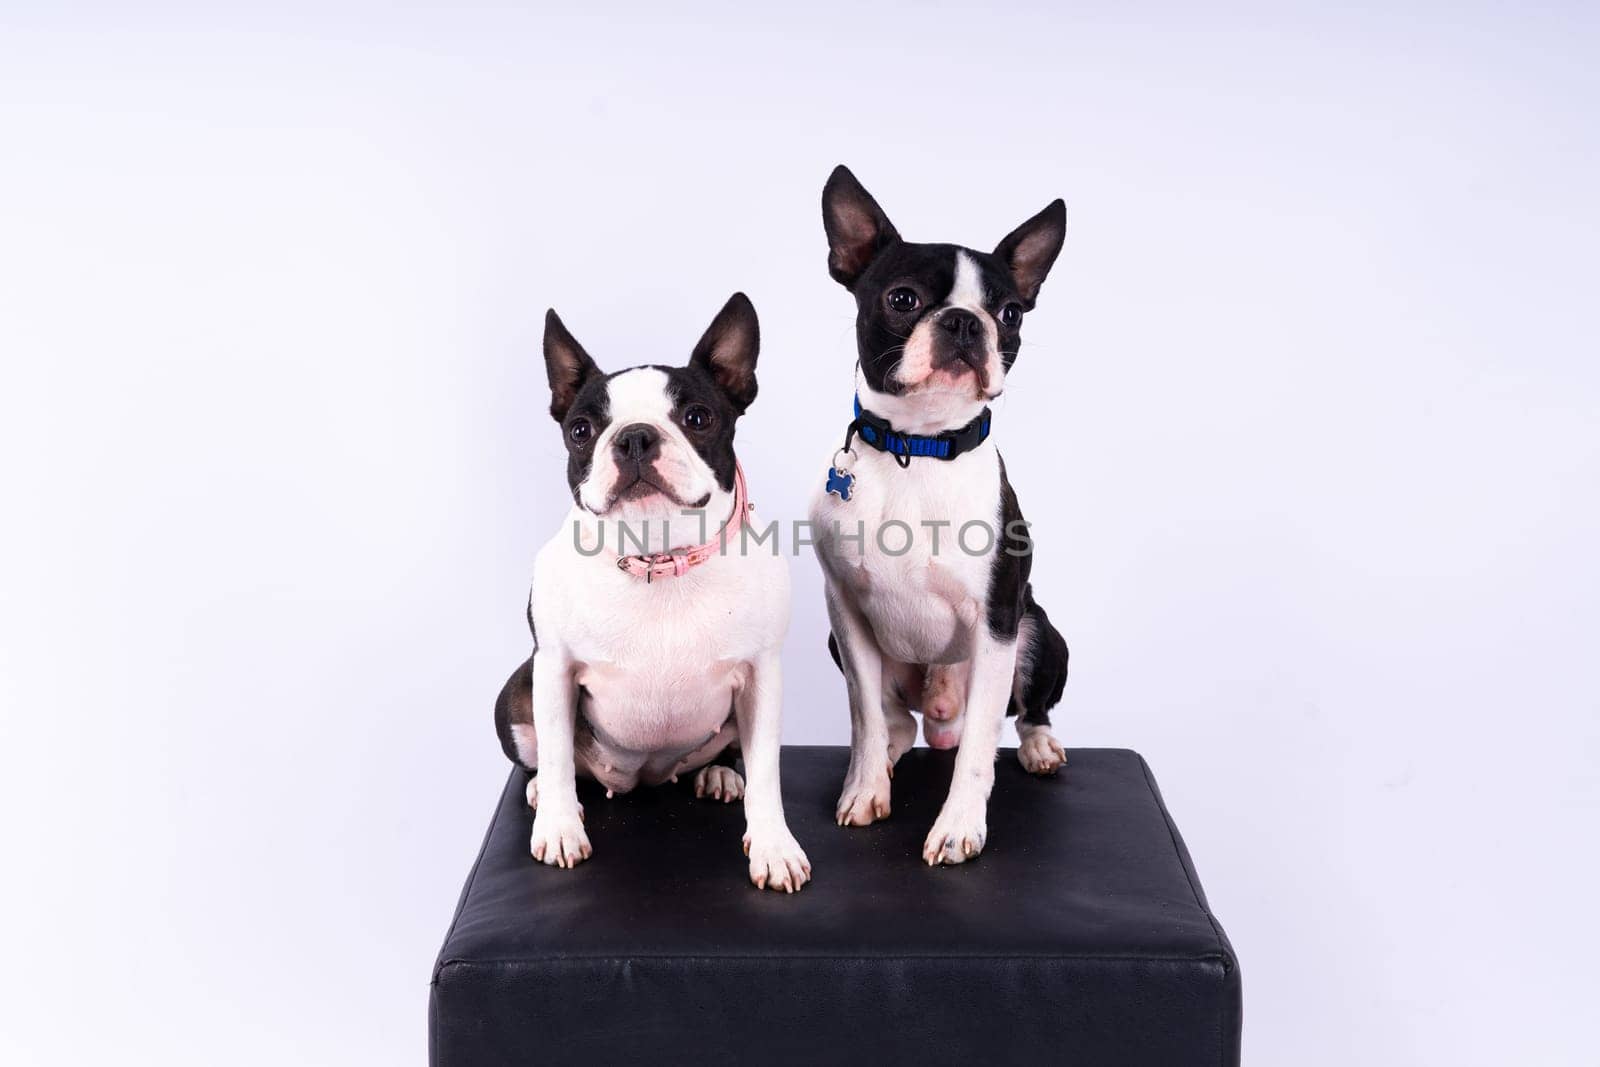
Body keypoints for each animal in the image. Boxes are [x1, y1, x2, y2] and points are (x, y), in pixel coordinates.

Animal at [489, 292, 812, 895]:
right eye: (581, 430)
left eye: (698, 418)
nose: (635, 436)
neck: (658, 558)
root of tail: (643, 778)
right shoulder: (554, 666)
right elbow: (558, 749)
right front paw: (560, 827)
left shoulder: (761, 675)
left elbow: (766, 773)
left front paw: (774, 848)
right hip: (518, 690)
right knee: (549, 757)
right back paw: (544, 791)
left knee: (728, 756)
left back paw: (717, 775)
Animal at [812, 168, 1075, 870]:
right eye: (902, 299)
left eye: (1009, 312)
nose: (963, 321)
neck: (920, 447)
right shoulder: (847, 613)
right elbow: (863, 716)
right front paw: (865, 789)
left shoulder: (998, 621)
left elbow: (983, 747)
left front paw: (959, 827)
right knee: (895, 719)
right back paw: (893, 749)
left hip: (1040, 633)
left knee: (1026, 711)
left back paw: (1039, 746)